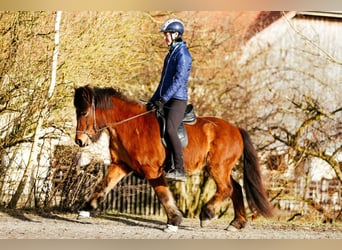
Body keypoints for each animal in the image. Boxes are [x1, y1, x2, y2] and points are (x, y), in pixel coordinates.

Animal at [73, 85, 272, 231]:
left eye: (83, 113)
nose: (79, 141)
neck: (131, 125)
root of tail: (236, 129)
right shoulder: (120, 165)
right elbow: (103, 185)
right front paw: (85, 209)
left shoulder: (152, 170)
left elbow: (163, 195)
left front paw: (174, 221)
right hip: (222, 168)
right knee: (236, 188)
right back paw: (236, 223)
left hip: (217, 167)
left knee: (227, 189)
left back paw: (206, 214)